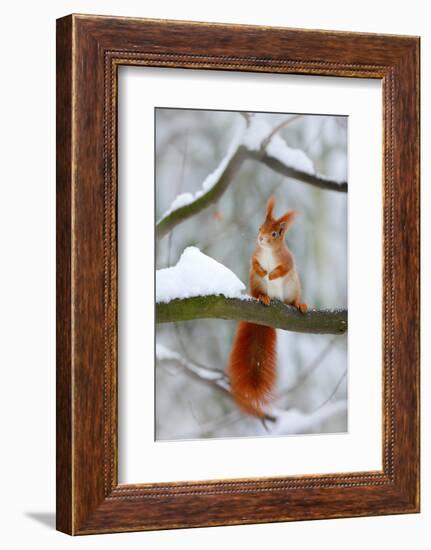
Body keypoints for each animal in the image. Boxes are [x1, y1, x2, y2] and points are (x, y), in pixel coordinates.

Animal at [230, 198, 308, 418]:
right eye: (259, 227)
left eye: (274, 234)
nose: (260, 239)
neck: (267, 252)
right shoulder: (255, 256)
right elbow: (254, 263)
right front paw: (263, 271)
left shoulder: (287, 260)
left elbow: (283, 268)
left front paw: (272, 274)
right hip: (256, 286)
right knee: (258, 292)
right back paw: (263, 297)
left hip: (293, 288)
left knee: (292, 300)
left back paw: (299, 304)